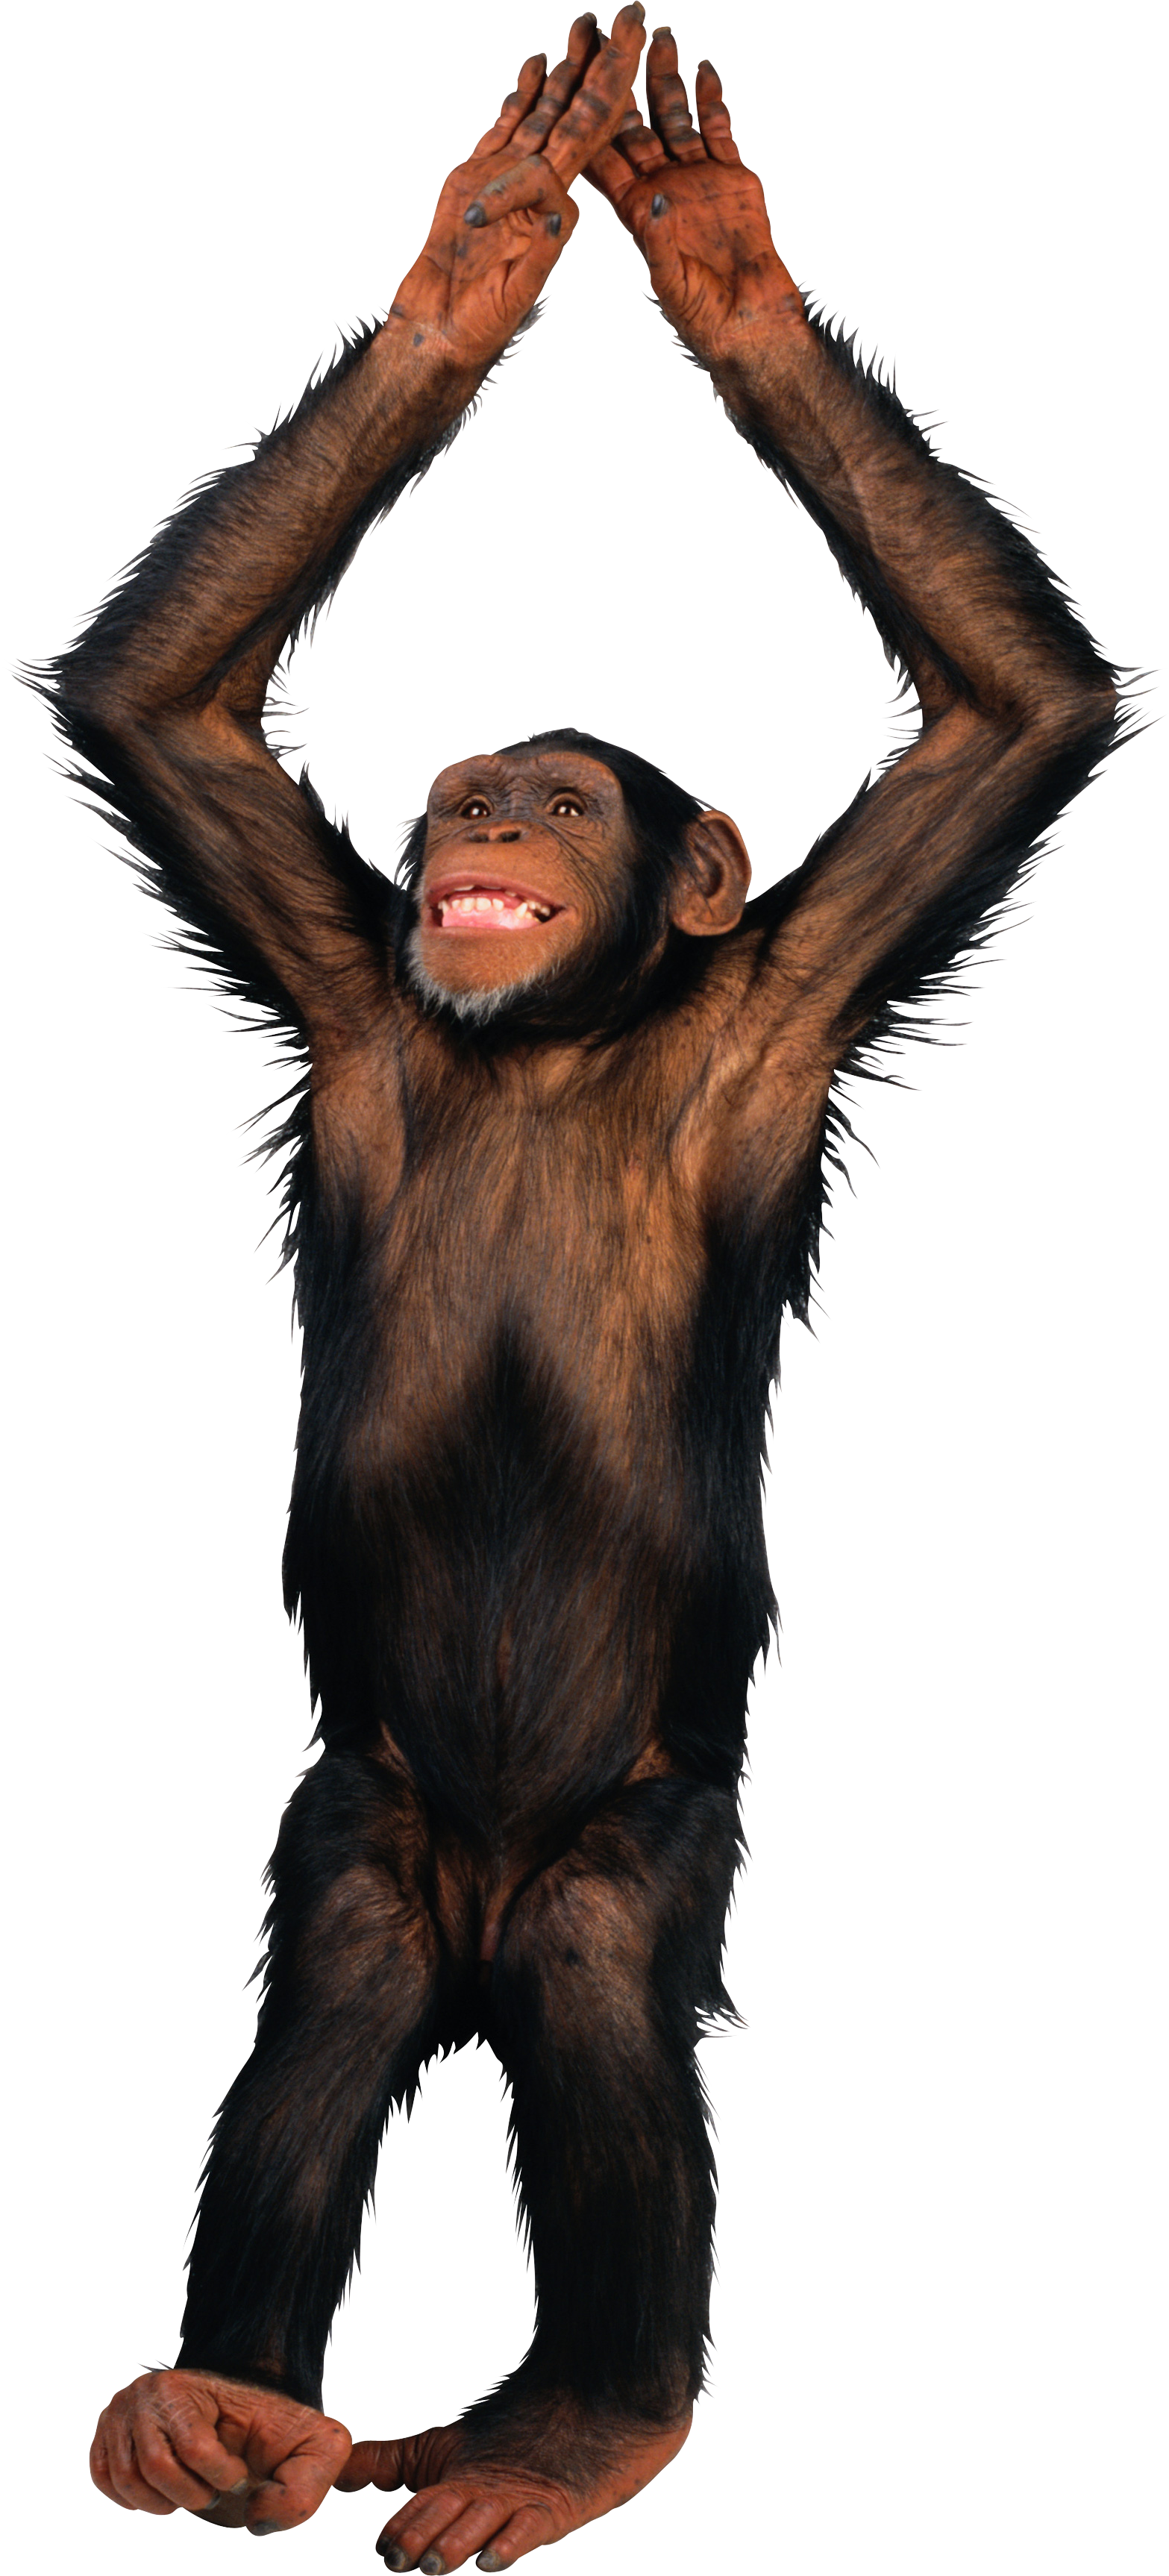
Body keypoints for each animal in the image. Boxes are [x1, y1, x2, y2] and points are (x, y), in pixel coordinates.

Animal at [37, 10, 1124, 2566]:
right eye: (454, 795)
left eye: (545, 791)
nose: (474, 820)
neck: (560, 1031)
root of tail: (473, 1923)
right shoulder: (344, 972)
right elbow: (165, 708)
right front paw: (478, 255)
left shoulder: (794, 996)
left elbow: (1011, 714)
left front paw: (724, 268)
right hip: (364, 1812)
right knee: (325, 2000)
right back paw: (217, 2405)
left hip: (637, 1832)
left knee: (610, 1993)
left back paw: (587, 2417)